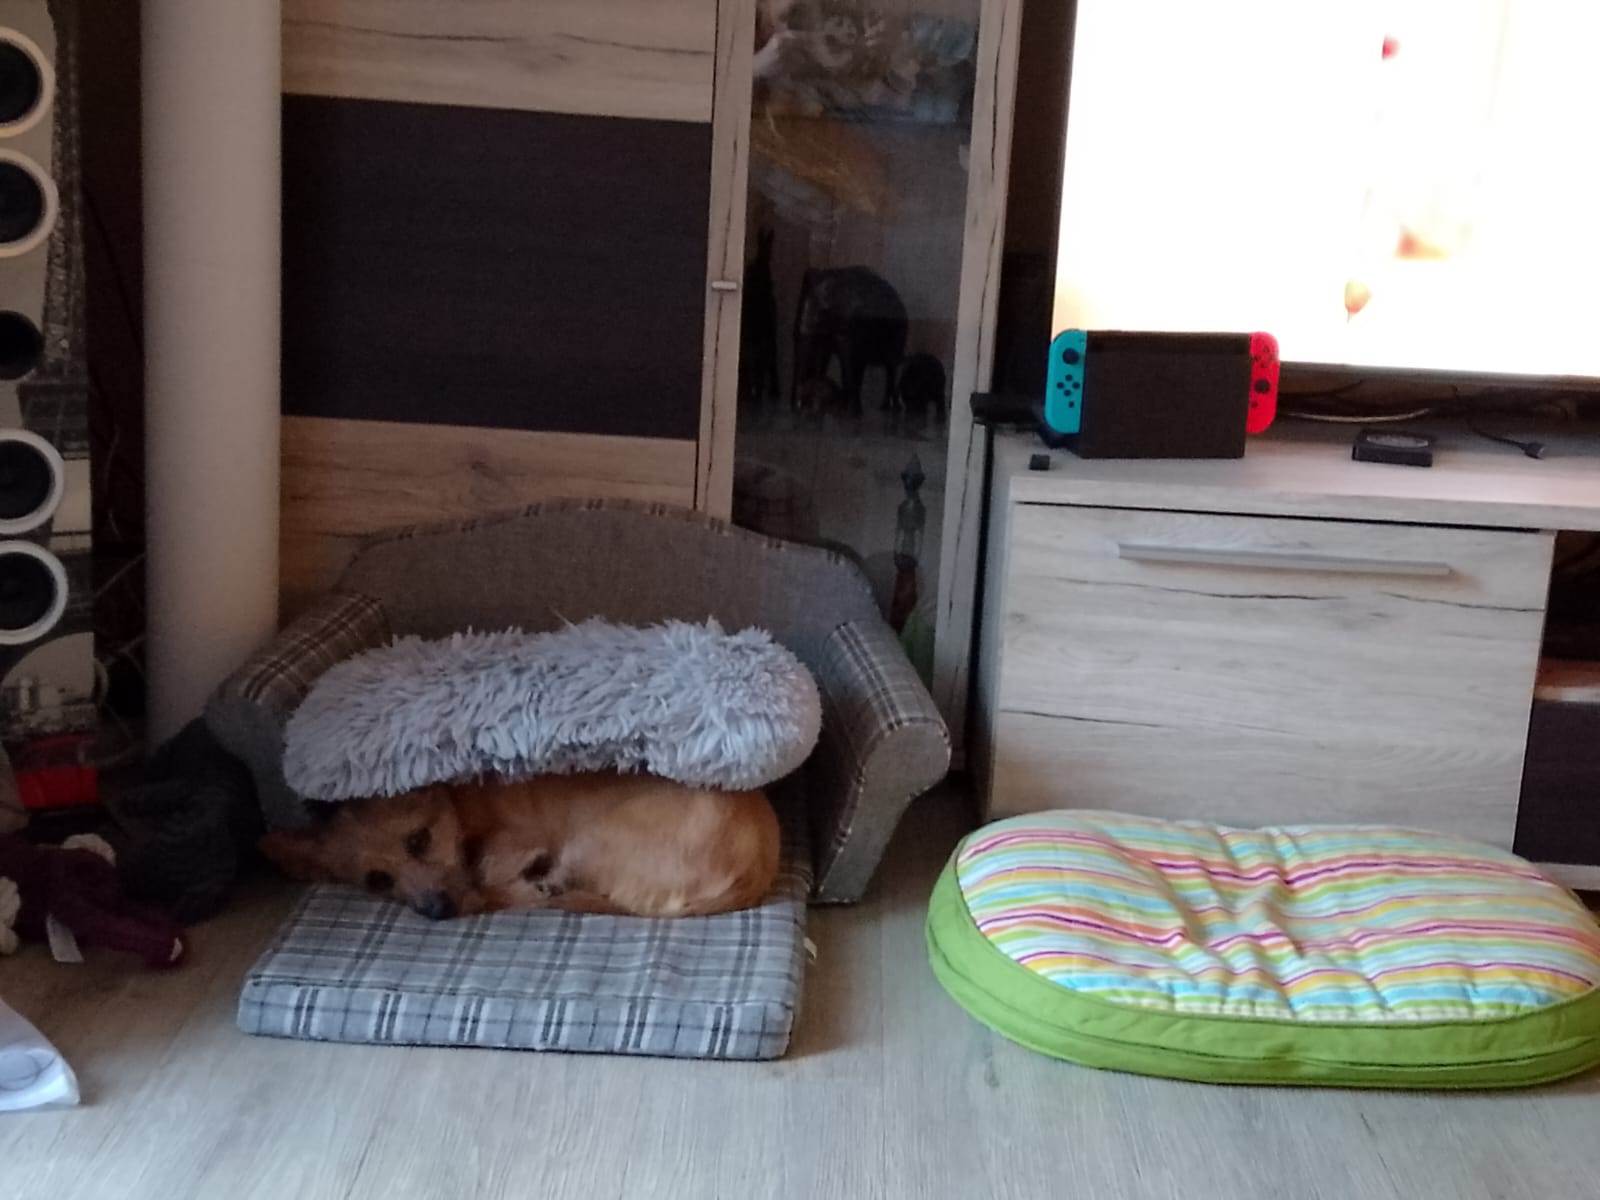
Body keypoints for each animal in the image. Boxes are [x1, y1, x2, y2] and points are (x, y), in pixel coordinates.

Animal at [259, 773, 780, 921]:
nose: (437, 911)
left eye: (419, 839)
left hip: (585, 840)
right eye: (377, 880)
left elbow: (490, 870)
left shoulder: (516, 840)